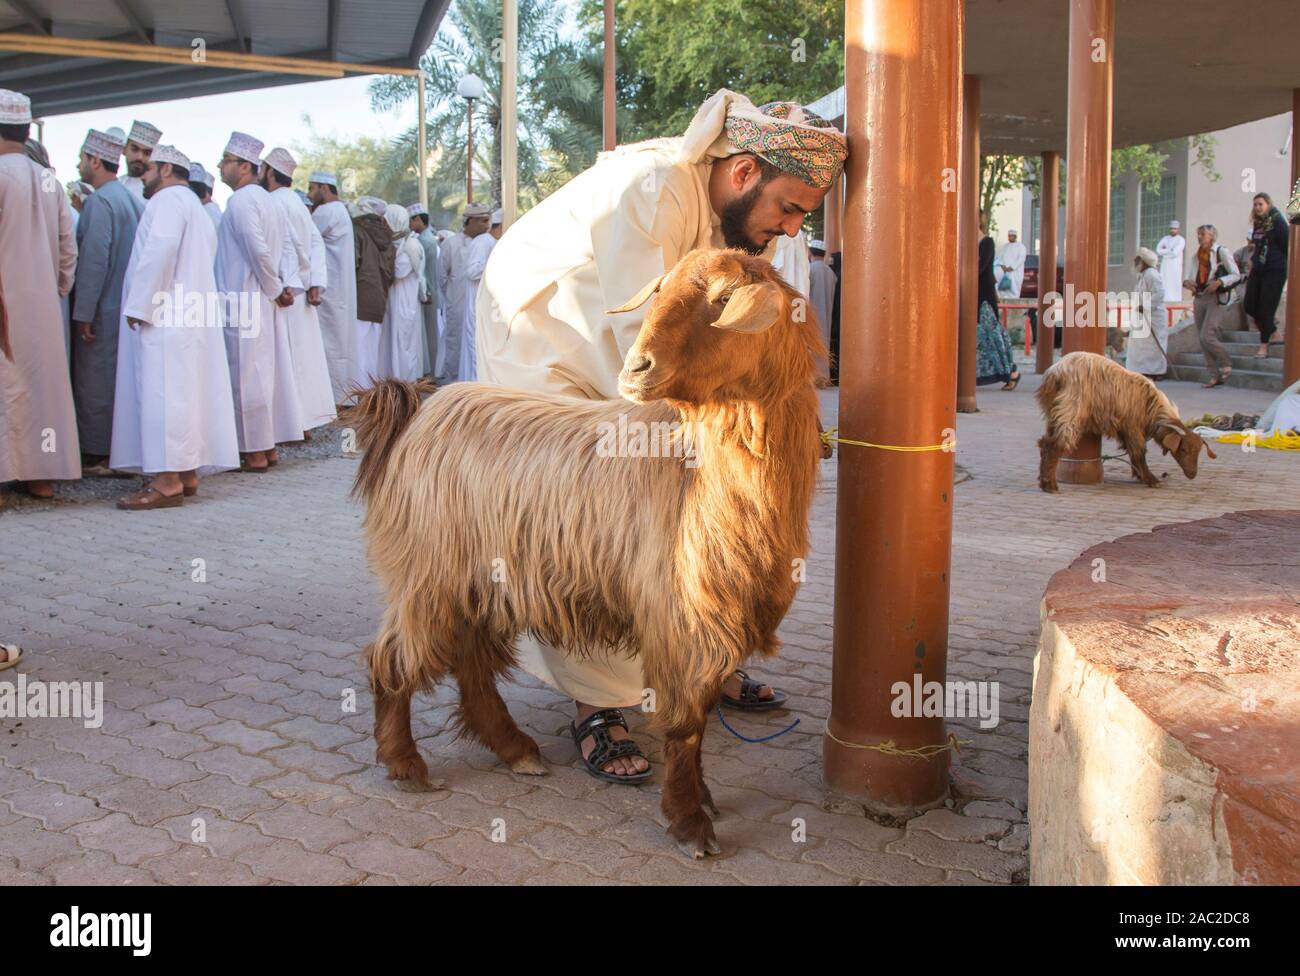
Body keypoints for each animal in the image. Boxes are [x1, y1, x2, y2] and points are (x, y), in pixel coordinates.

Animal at [343, 248, 821, 857]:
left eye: (722, 300)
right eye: (660, 290)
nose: (636, 368)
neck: (698, 472)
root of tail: (423, 409)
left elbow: (701, 714)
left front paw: (703, 801)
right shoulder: (680, 615)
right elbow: (687, 723)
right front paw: (690, 820)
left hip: (479, 580)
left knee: (471, 662)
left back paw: (514, 749)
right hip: (428, 575)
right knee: (391, 658)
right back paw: (405, 763)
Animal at [1040, 348, 1211, 491]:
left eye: (1198, 451)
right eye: (1183, 449)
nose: (1192, 474)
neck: (1151, 407)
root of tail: (1056, 371)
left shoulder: (1126, 431)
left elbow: (1132, 453)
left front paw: (1140, 476)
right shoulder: (1132, 427)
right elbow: (1139, 453)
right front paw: (1151, 479)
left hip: (1054, 412)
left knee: (1044, 443)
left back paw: (1044, 481)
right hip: (1071, 411)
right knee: (1054, 445)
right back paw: (1050, 485)